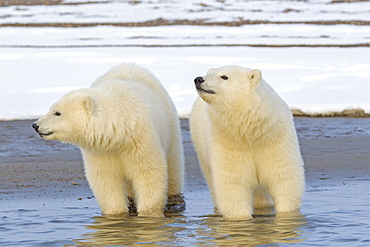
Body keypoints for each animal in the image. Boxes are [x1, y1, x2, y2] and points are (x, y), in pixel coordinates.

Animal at [33, 63, 185, 216]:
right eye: (50, 109)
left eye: (57, 113)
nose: (35, 125)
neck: (118, 133)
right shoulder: (101, 150)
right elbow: (106, 179)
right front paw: (116, 213)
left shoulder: (140, 139)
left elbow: (148, 171)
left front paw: (148, 213)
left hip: (169, 123)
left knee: (173, 163)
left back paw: (174, 200)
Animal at [189, 65, 304, 220]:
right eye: (209, 73)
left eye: (224, 76)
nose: (198, 79)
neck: (251, 133)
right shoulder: (228, 143)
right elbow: (233, 184)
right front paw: (241, 219)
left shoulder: (275, 141)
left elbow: (284, 179)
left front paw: (287, 216)